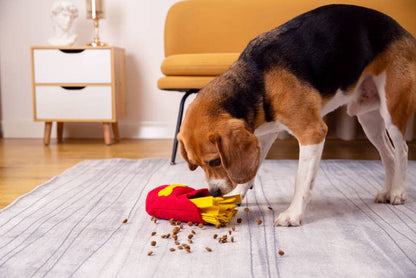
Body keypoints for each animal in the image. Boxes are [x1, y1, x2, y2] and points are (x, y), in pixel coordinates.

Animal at [177, 4, 416, 226]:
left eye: (216, 161)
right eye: (196, 164)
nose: (214, 192)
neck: (258, 81)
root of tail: (404, 31)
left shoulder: (312, 132)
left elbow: (301, 180)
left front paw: (293, 215)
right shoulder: (262, 136)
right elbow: (251, 170)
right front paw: (236, 196)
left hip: (392, 110)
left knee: (402, 150)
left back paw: (398, 192)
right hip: (369, 119)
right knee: (389, 155)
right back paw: (386, 191)